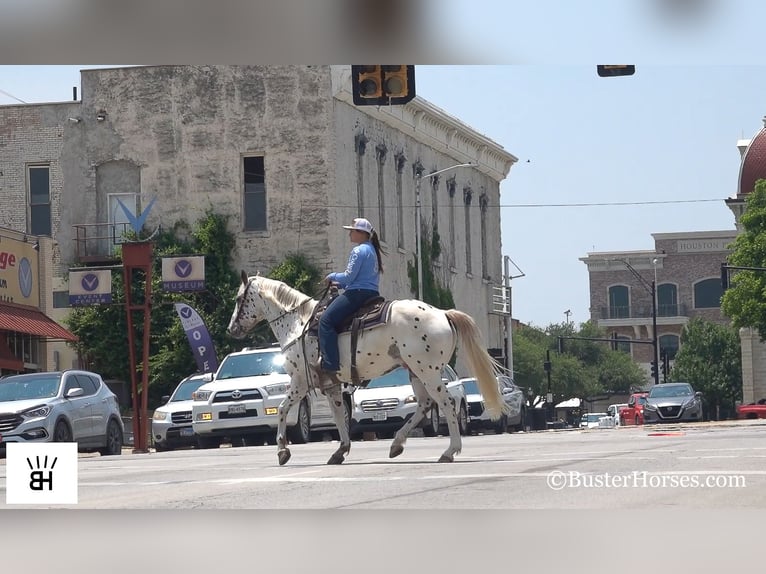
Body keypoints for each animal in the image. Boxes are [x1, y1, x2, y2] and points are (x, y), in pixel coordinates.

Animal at [225, 272, 508, 466]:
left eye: (239, 298)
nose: (231, 329)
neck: (299, 323)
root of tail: (443, 314)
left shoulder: (300, 381)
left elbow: (282, 410)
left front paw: (282, 450)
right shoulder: (331, 385)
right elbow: (339, 417)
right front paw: (340, 451)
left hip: (427, 371)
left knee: (446, 403)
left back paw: (449, 452)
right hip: (415, 371)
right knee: (425, 405)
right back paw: (396, 444)